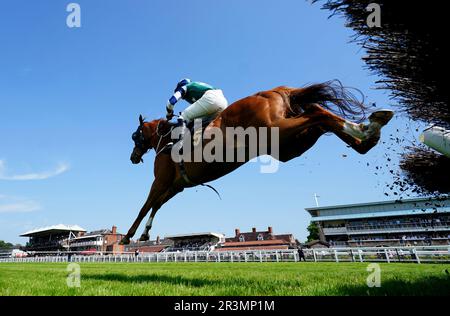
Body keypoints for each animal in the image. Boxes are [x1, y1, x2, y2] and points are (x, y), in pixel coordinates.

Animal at [119, 80, 394, 243]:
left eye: (135, 135)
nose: (133, 157)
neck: (165, 139)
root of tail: (277, 91)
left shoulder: (160, 180)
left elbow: (145, 206)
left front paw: (128, 236)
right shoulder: (177, 185)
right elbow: (157, 206)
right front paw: (144, 234)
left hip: (278, 131)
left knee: (317, 113)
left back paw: (365, 130)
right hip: (288, 146)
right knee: (319, 115)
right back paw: (368, 134)